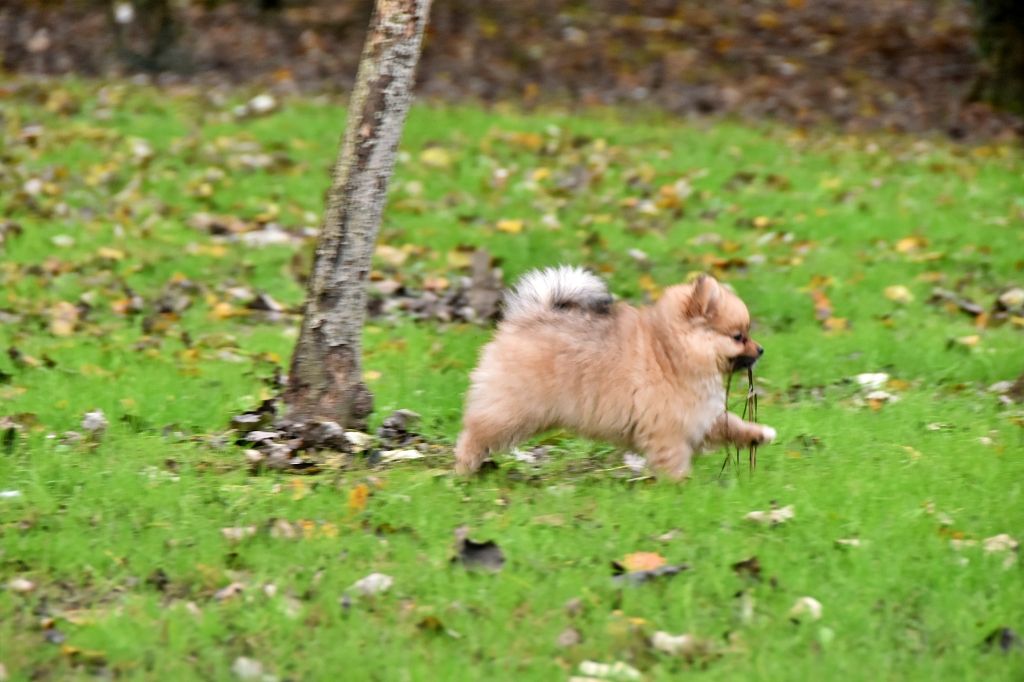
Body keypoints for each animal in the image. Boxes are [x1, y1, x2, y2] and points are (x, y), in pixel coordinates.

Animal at [454, 267, 776, 479]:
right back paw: (464, 469)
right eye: (739, 337)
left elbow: (732, 425)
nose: (761, 349)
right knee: (475, 433)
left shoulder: (700, 415)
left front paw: (759, 434)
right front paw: (681, 487)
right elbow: (673, 459)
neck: (669, 352)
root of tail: (528, 317)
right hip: (511, 409)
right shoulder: (668, 427)